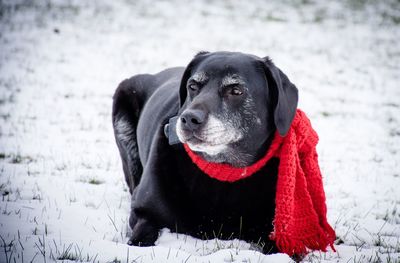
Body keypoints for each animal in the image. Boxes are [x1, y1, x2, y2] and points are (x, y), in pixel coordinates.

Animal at [111, 50, 296, 255]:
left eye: (236, 91)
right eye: (192, 86)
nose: (189, 119)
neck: (222, 169)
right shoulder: (142, 211)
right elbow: (142, 235)